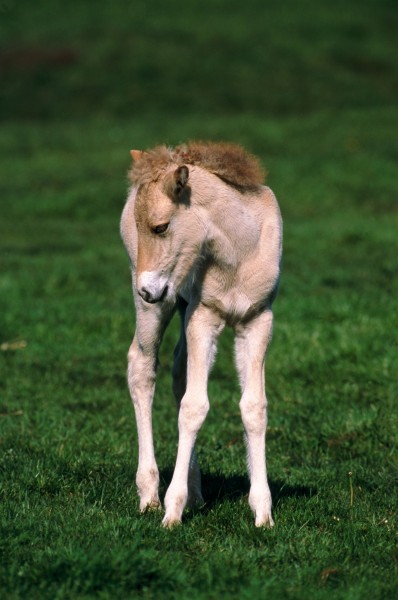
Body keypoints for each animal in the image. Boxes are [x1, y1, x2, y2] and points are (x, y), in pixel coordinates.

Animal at [119, 143, 282, 528]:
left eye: (161, 227)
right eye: (139, 227)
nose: (146, 289)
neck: (237, 251)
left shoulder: (258, 321)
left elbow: (254, 407)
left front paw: (263, 512)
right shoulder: (203, 317)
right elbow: (194, 407)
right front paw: (171, 512)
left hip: (177, 300)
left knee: (179, 373)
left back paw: (195, 493)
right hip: (160, 305)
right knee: (141, 366)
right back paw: (150, 494)